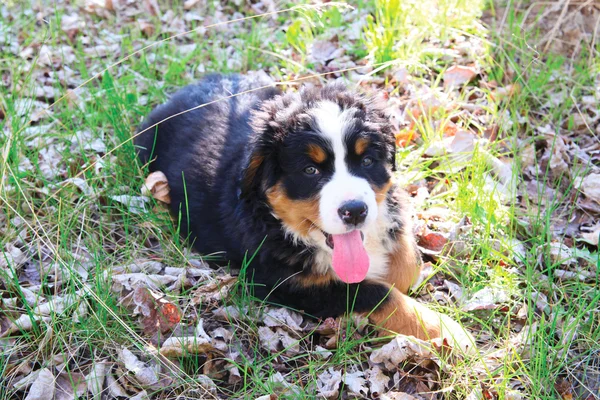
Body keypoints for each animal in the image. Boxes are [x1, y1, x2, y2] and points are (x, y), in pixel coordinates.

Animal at [135, 73, 474, 352]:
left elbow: (408, 263)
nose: (355, 211)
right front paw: (445, 332)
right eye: (310, 170)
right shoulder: (284, 282)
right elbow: (373, 292)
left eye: (366, 162)